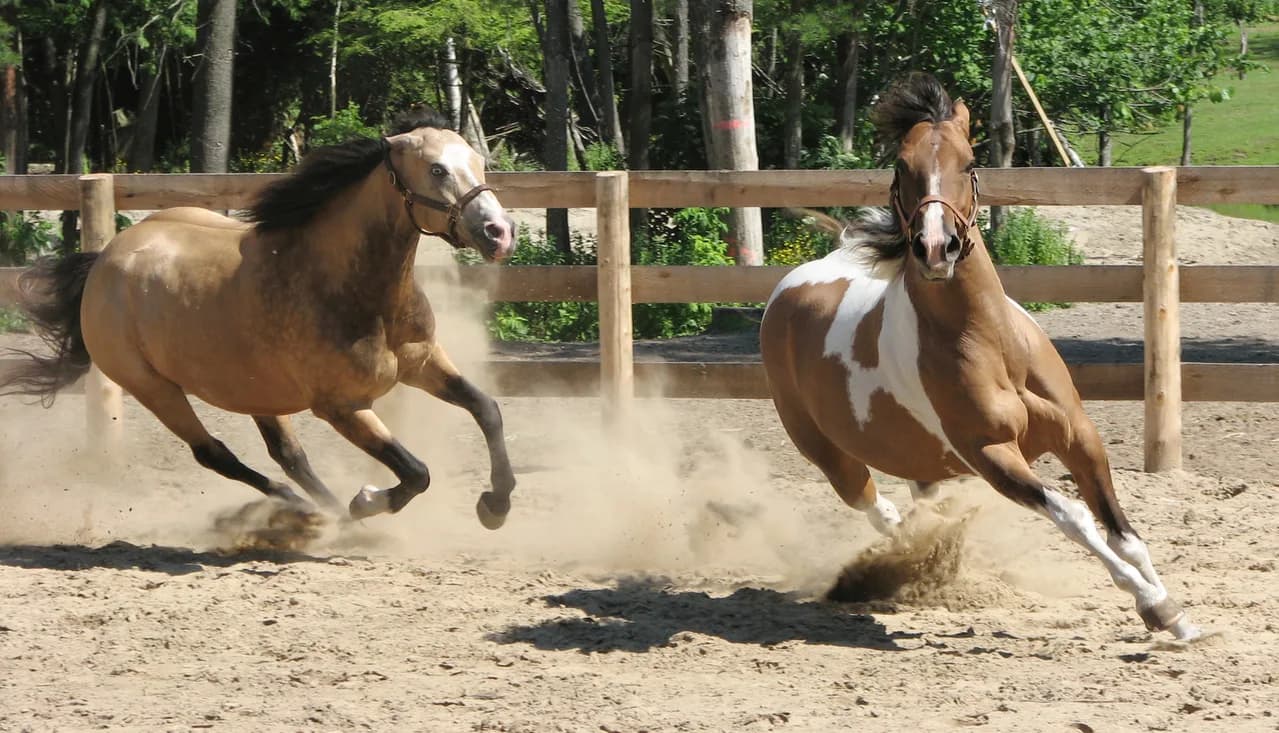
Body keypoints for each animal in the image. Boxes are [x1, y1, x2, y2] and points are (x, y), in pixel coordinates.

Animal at [1, 107, 520, 530]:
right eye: (437, 169)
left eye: (479, 163)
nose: (500, 233)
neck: (357, 292)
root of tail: (103, 262)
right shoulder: (342, 407)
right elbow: (415, 472)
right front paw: (366, 501)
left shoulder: (424, 362)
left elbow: (486, 410)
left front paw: (495, 506)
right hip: (153, 387)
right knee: (215, 454)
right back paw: (311, 513)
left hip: (252, 386)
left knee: (288, 455)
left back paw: (320, 514)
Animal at [760, 74, 1199, 640]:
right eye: (902, 165)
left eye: (969, 162)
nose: (935, 247)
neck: (992, 346)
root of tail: (793, 286)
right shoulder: (992, 455)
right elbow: (1075, 516)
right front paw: (1153, 604)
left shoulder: (1079, 435)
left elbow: (1124, 533)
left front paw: (1180, 618)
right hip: (831, 456)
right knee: (880, 512)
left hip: (920, 460)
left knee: (919, 508)